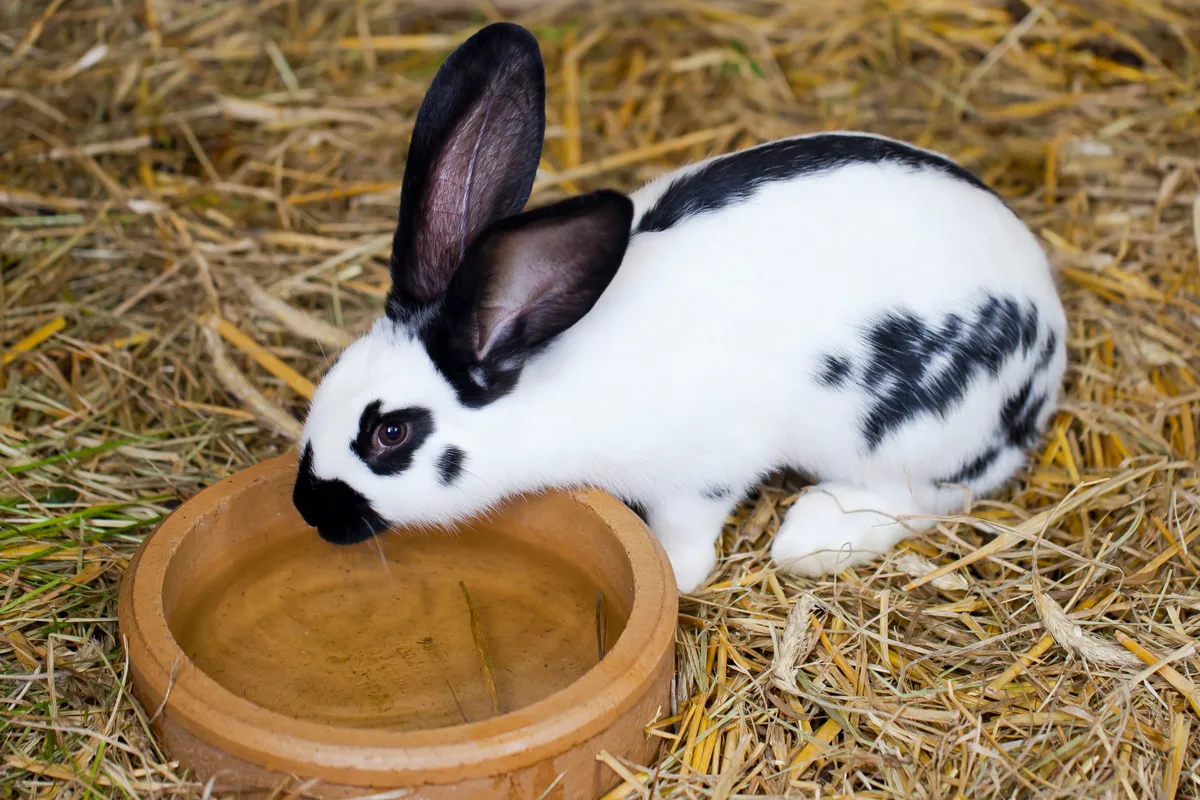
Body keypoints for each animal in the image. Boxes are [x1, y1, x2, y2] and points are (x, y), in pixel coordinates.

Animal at [292, 21, 1067, 594]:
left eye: (390, 434)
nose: (308, 509)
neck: (544, 387)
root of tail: (1051, 339)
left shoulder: (705, 473)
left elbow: (687, 537)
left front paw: (673, 575)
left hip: (904, 435)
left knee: (934, 494)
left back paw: (814, 537)